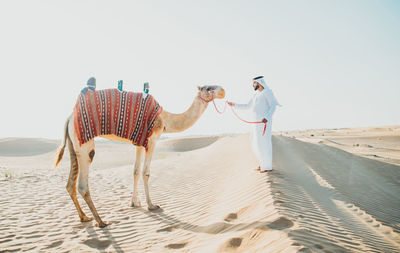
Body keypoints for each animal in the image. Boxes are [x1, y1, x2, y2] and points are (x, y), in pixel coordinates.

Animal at [54, 85, 227, 227]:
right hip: (84, 142)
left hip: (73, 143)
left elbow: (136, 172)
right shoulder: (152, 140)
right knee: (82, 183)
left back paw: (84, 217)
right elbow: (146, 173)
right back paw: (101, 221)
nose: (223, 91)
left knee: (70, 183)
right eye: (208, 88)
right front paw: (151, 205)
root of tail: (69, 118)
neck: (165, 119)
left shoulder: (138, 143)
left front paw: (135, 203)